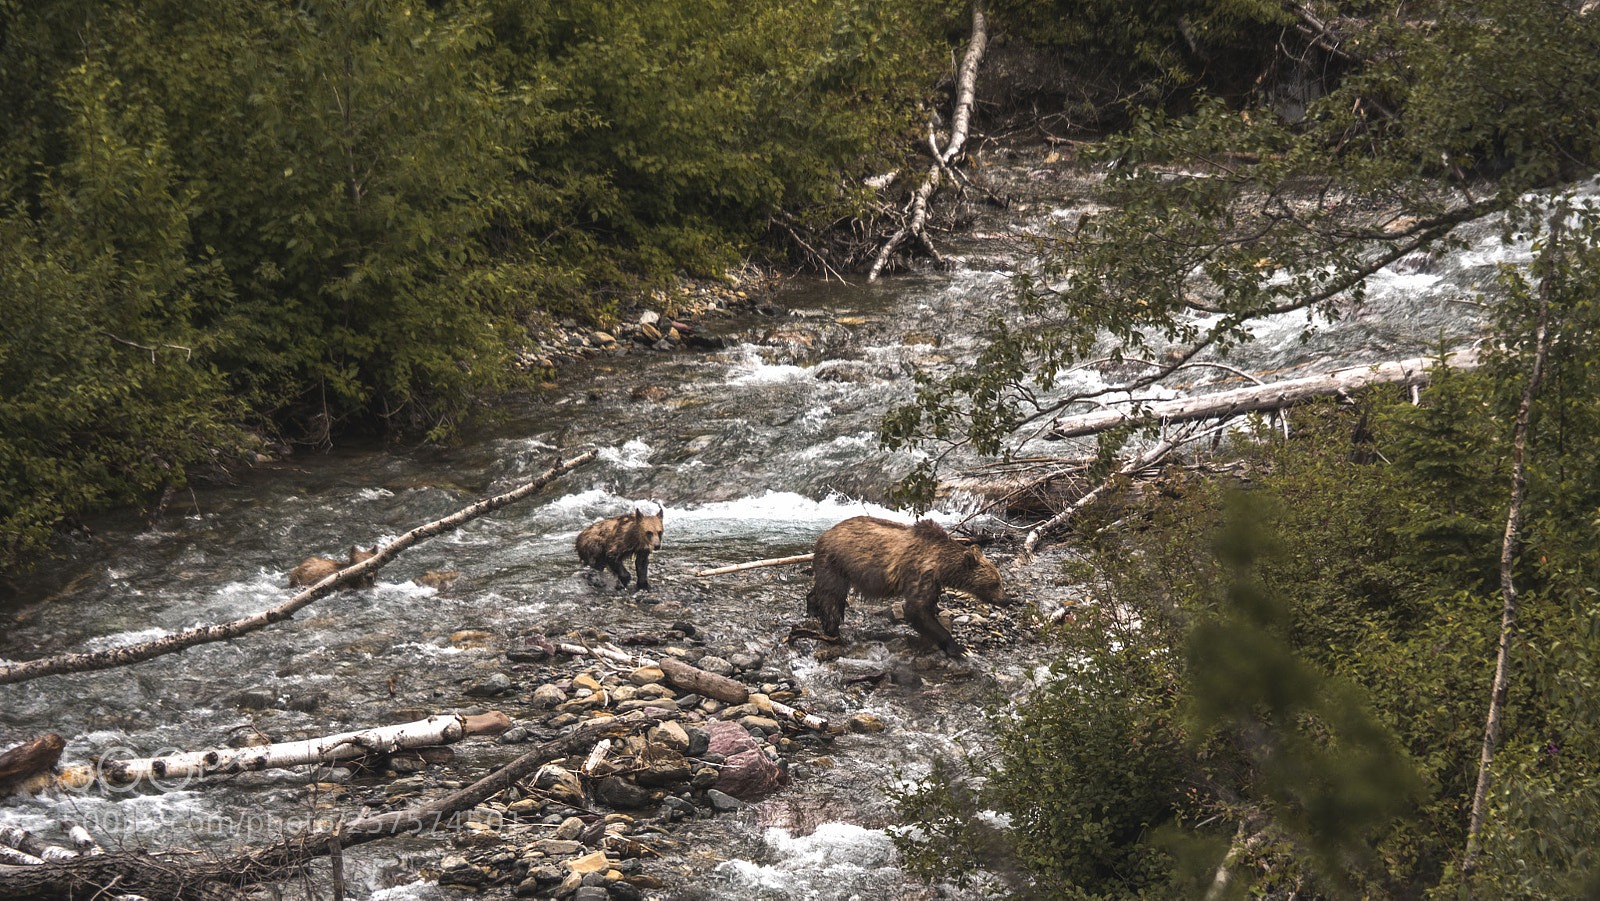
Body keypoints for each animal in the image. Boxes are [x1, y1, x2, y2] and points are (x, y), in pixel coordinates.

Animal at [805, 516, 1002, 658]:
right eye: (995, 583)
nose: (1006, 599)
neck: (941, 565)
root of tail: (822, 536)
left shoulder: (934, 582)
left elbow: (928, 606)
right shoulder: (921, 572)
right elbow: (916, 610)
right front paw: (960, 648)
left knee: (822, 591)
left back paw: (813, 610)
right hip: (836, 561)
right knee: (832, 597)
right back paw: (834, 632)